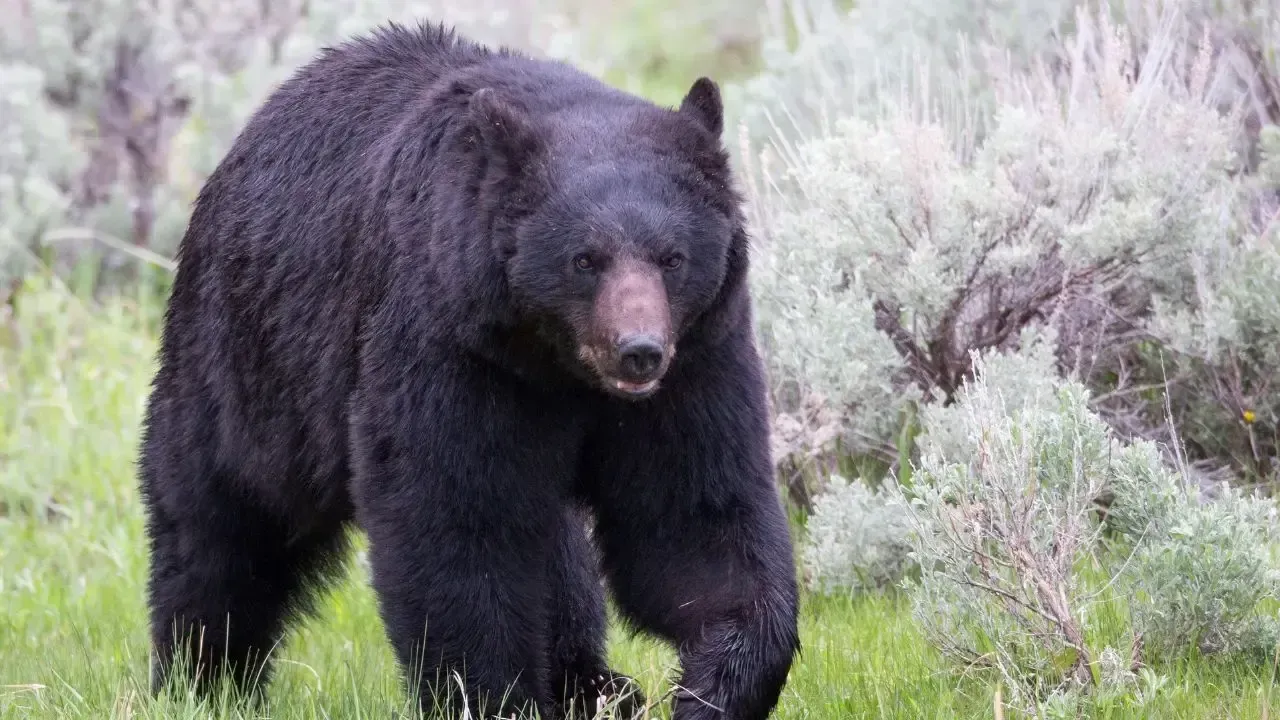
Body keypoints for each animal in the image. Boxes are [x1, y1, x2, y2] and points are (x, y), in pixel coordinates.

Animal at [137, 20, 799, 720]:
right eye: (584, 259)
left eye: (672, 257)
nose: (638, 350)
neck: (558, 367)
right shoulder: (450, 344)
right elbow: (457, 522)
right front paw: (494, 696)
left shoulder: (698, 358)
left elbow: (692, 516)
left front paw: (712, 688)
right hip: (250, 359)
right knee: (219, 517)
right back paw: (202, 678)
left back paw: (594, 684)